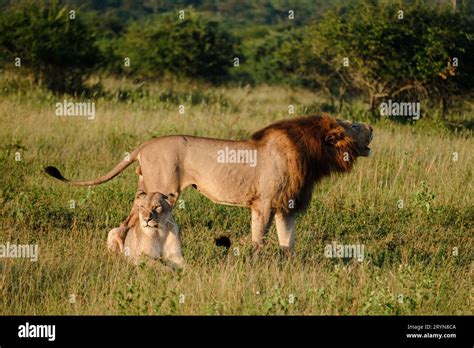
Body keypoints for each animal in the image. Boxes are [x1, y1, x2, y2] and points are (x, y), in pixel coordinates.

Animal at [45, 114, 370, 253]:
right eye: (353, 125)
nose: (371, 125)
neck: (312, 153)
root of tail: (145, 144)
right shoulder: (263, 204)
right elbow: (258, 239)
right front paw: (256, 263)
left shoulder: (285, 207)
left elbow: (287, 242)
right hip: (161, 190)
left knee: (125, 223)